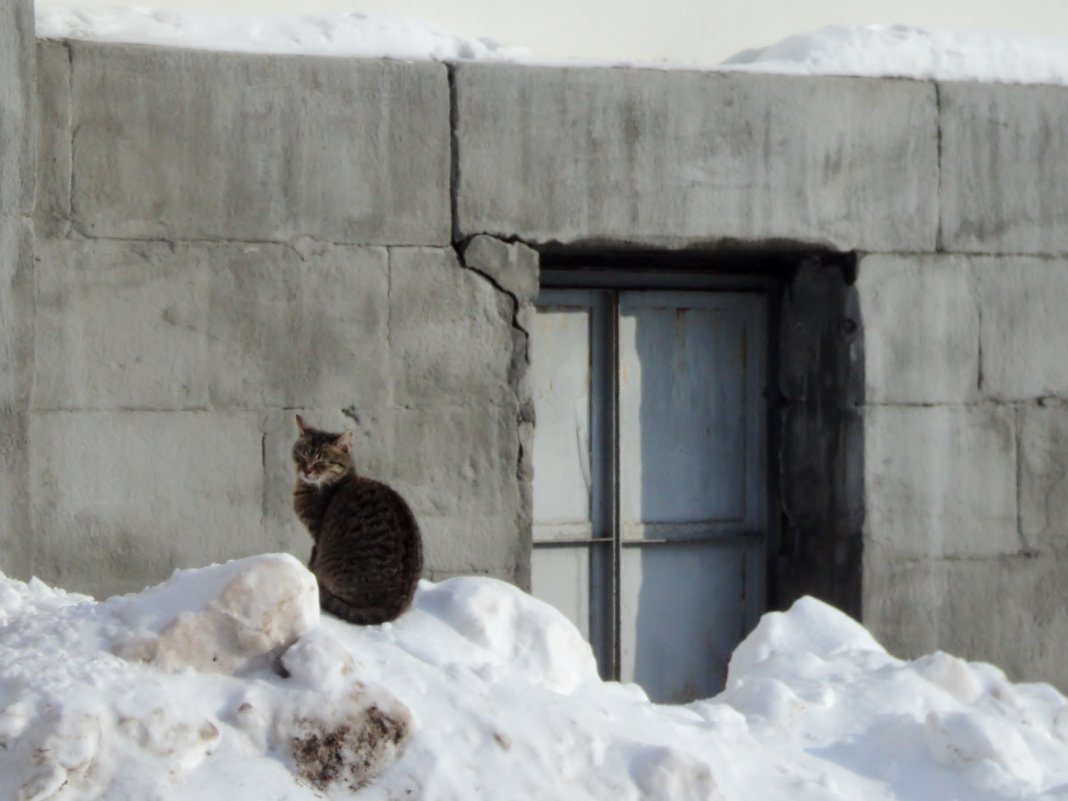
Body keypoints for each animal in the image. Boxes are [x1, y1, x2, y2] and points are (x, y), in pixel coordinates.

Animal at [294, 414, 427, 627]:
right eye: (301, 456)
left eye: (321, 462)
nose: (306, 471)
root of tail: (394, 606)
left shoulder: (317, 534)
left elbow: (313, 557)